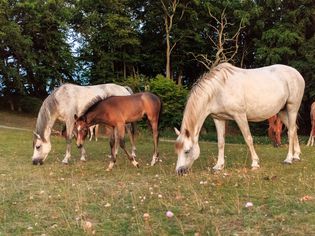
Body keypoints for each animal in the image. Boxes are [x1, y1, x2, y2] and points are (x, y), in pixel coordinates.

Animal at [175, 62, 306, 175]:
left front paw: (255, 163)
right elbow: (221, 142)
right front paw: (218, 166)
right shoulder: (218, 118)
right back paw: (296, 156)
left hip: (292, 108)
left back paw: (288, 159)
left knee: (291, 131)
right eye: (177, 150)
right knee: (294, 129)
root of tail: (297, 74)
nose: (179, 171)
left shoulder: (240, 116)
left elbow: (248, 138)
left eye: (187, 151)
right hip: (282, 111)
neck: (219, 88)